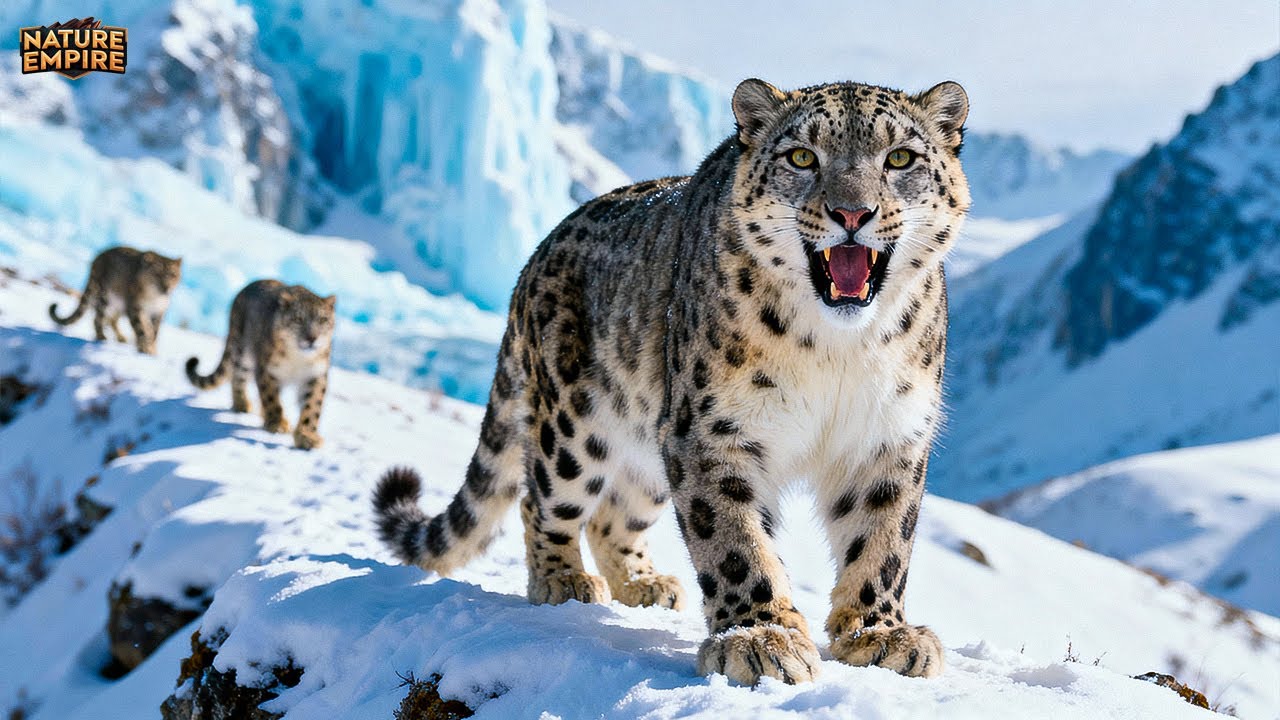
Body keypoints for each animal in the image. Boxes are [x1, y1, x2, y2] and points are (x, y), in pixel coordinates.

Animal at [48, 246, 183, 355]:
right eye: (157, 273)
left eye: (173, 274)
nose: (166, 287)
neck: (155, 298)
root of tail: (99, 256)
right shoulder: (136, 308)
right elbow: (142, 329)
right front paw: (145, 348)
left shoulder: (158, 313)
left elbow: (154, 332)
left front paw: (152, 349)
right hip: (104, 297)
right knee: (98, 318)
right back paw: (101, 336)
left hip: (118, 305)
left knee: (112, 320)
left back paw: (121, 338)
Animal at [186, 279, 335, 451]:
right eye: (298, 319)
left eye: (323, 319)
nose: (312, 338)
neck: (298, 360)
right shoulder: (267, 371)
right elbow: (271, 399)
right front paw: (277, 424)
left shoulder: (315, 375)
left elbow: (312, 406)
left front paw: (307, 436)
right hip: (243, 354)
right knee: (237, 378)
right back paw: (242, 404)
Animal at [374, 77, 970, 685]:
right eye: (802, 157)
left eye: (900, 158)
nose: (853, 213)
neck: (840, 352)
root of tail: (535, 259)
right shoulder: (713, 432)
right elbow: (735, 541)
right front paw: (760, 639)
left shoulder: (888, 435)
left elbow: (883, 540)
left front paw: (880, 634)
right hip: (573, 426)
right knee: (544, 501)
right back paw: (563, 580)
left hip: (649, 451)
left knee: (612, 517)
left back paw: (645, 584)